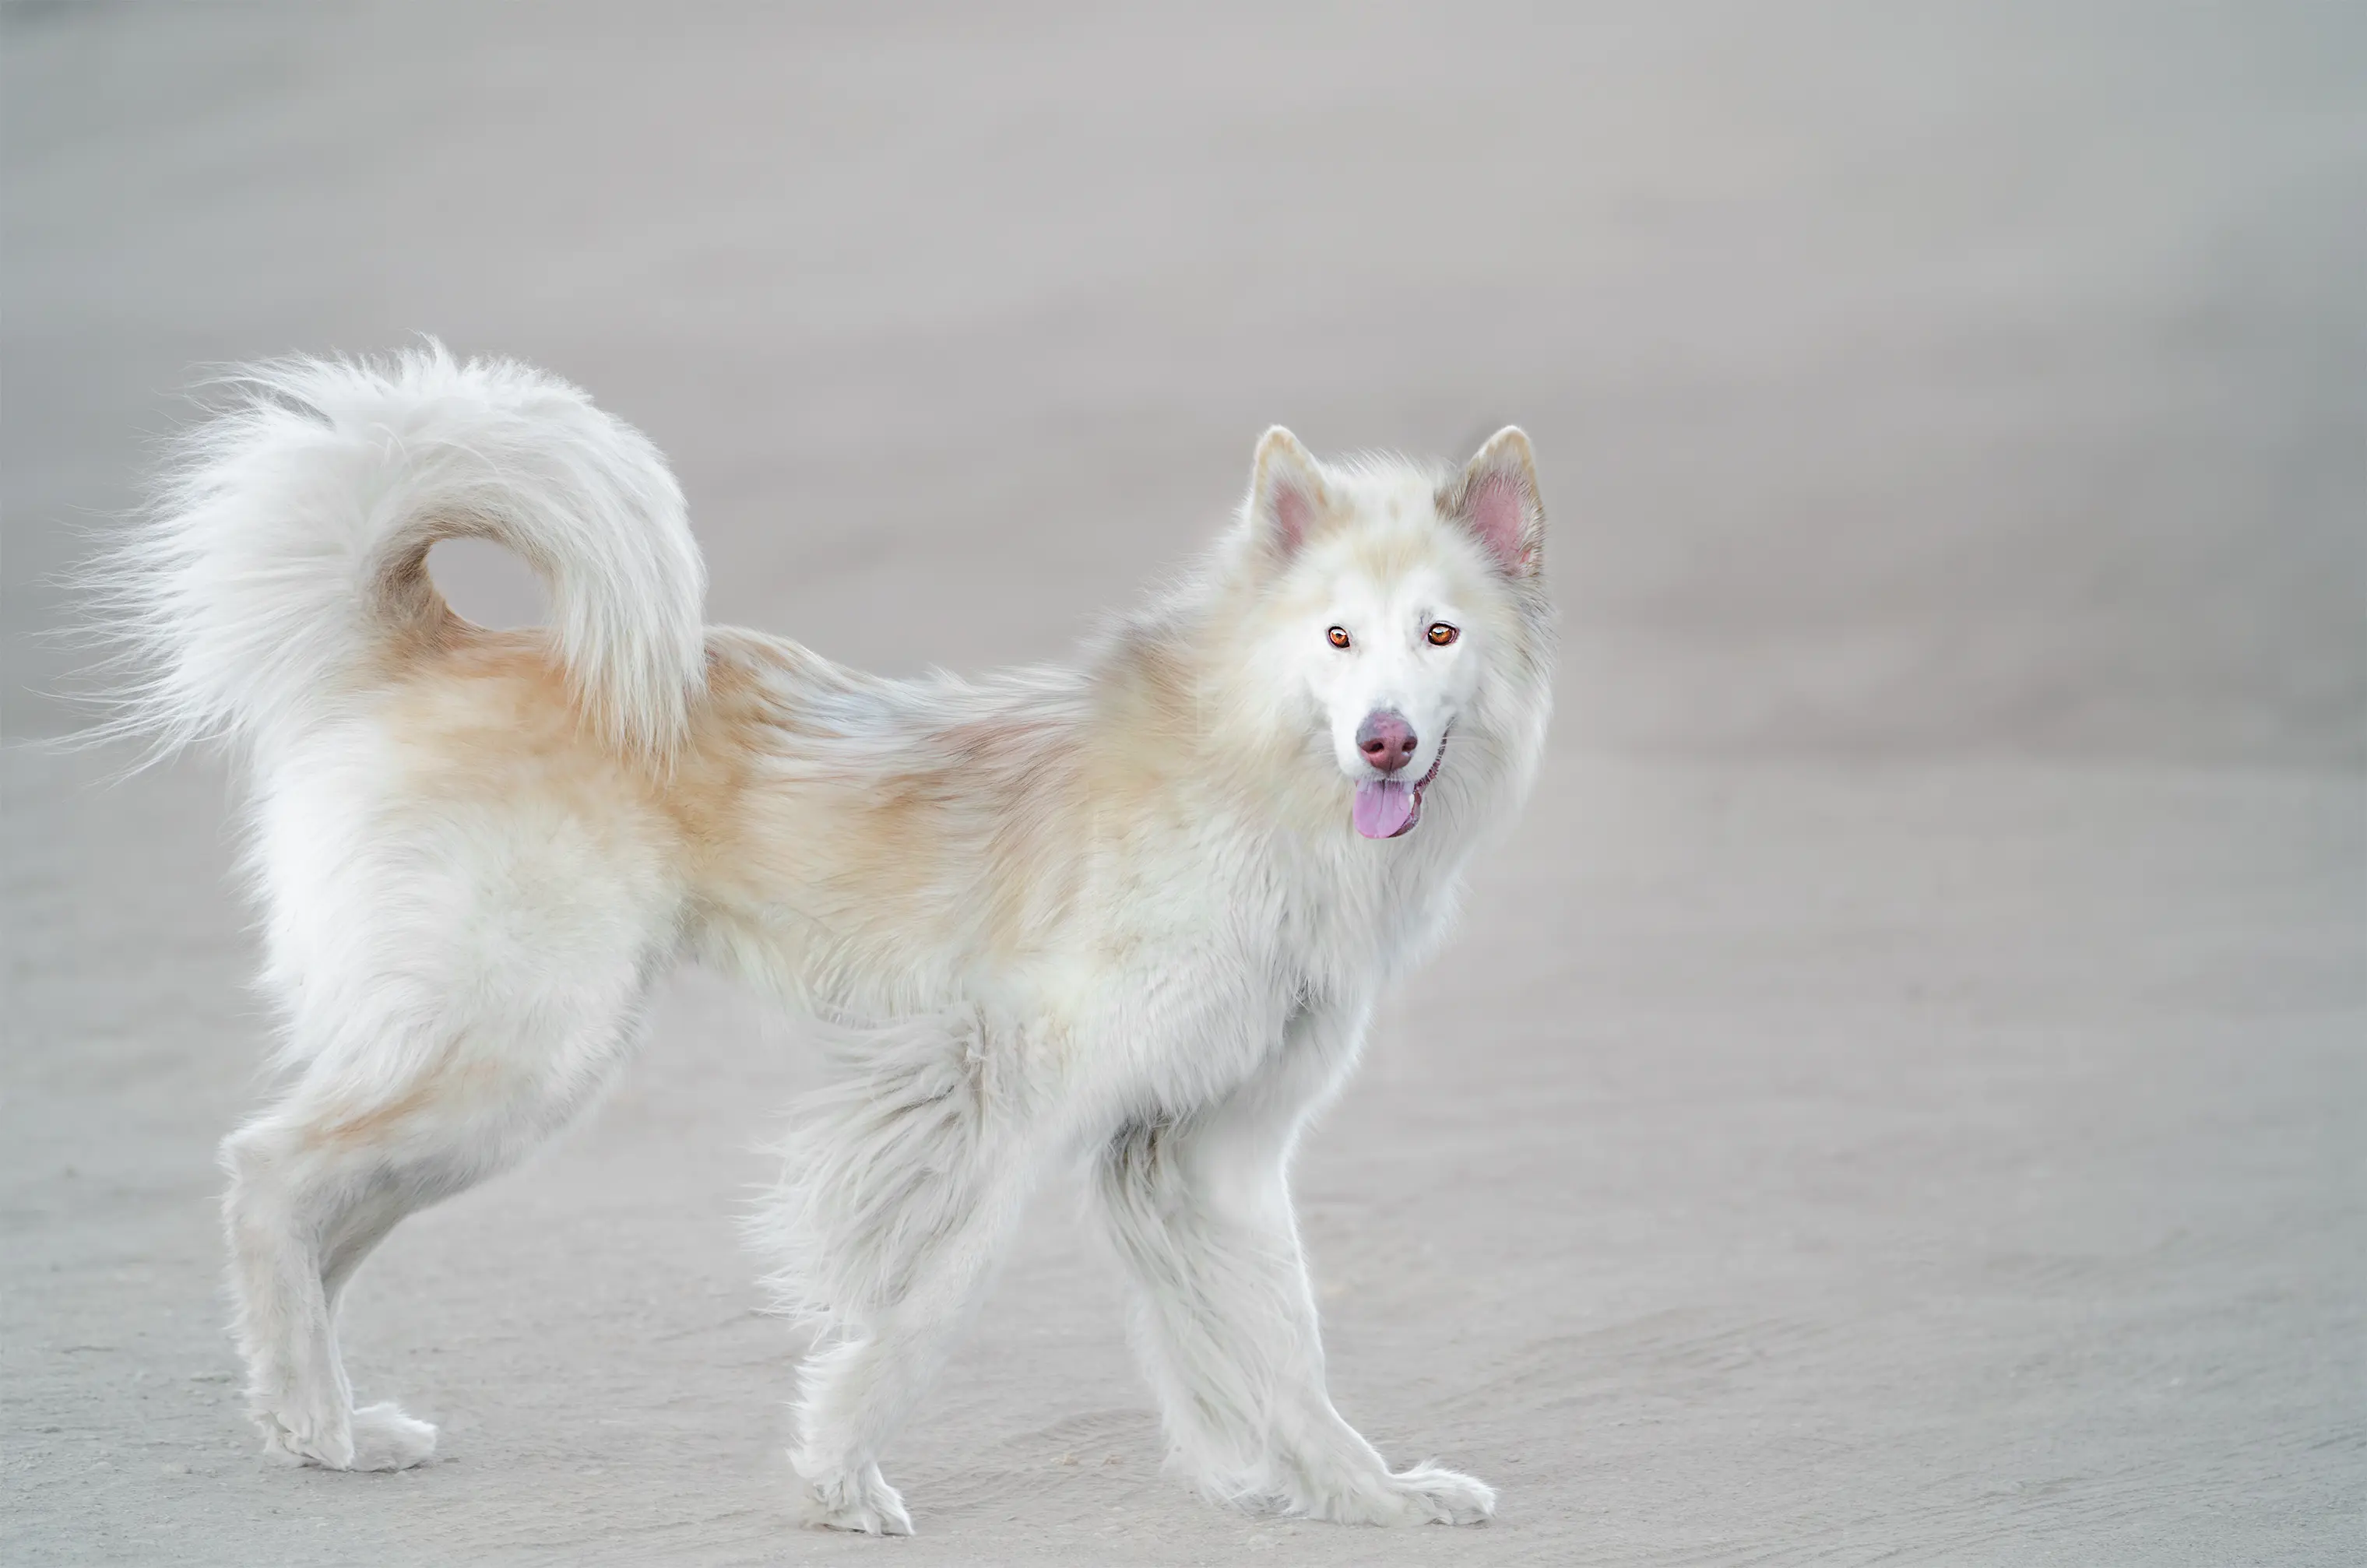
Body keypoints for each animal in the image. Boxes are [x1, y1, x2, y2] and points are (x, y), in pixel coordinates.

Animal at [90, 344, 1554, 1533]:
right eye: (1337, 636)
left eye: (1439, 633)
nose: (1385, 739)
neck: (1246, 779)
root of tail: (434, 643)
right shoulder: (1001, 1097)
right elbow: (925, 1303)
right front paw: (842, 1477)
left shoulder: (1209, 1151)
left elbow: (1274, 1345)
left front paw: (1351, 1490)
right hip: (512, 1054)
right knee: (271, 1171)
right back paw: (317, 1418)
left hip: (485, 1081)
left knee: (322, 1213)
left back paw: (318, 1424)